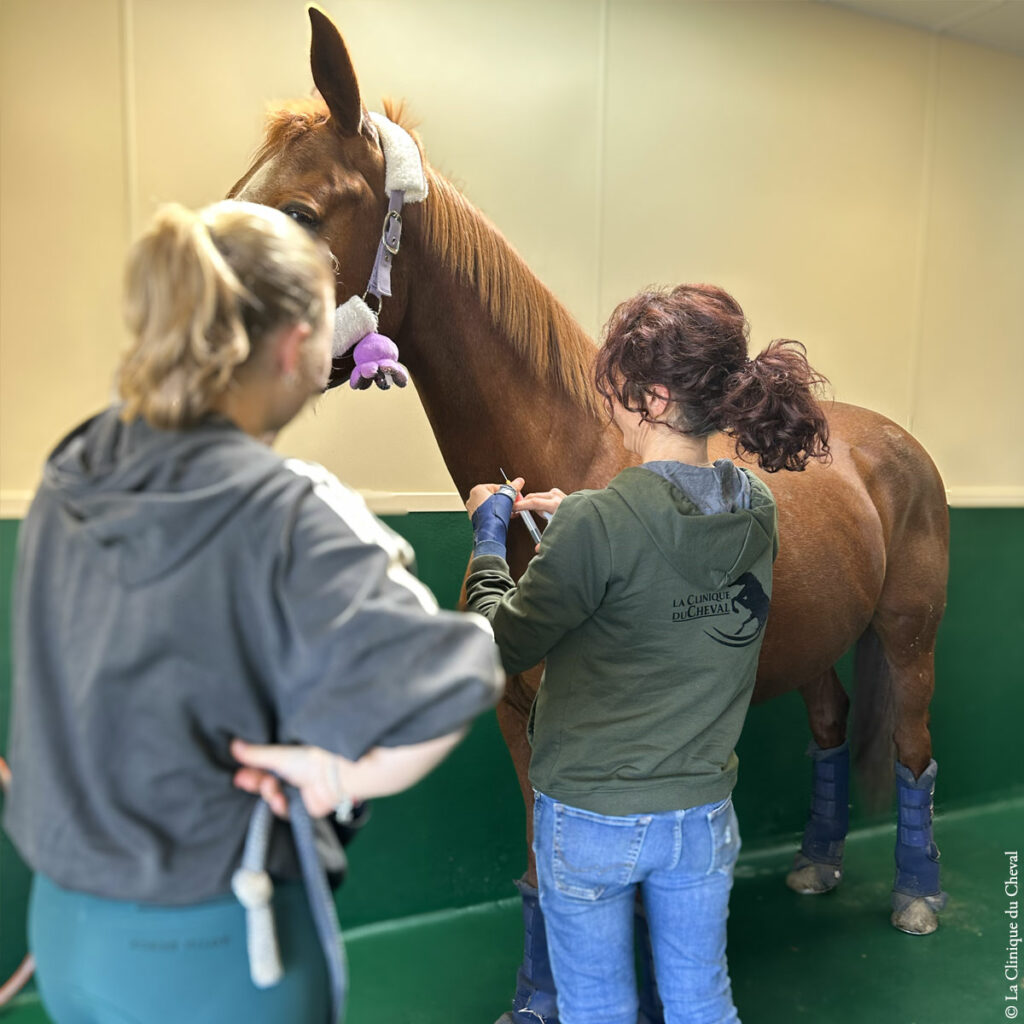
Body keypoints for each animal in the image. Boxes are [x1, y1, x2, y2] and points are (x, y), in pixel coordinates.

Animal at [228, 6, 946, 1015]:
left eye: (297, 213)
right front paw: (537, 997)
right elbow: (541, 868)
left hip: (911, 637)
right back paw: (815, 865)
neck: (575, 460)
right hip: (819, 641)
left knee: (915, 752)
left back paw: (917, 899)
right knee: (832, 724)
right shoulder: (522, 723)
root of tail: (894, 443)